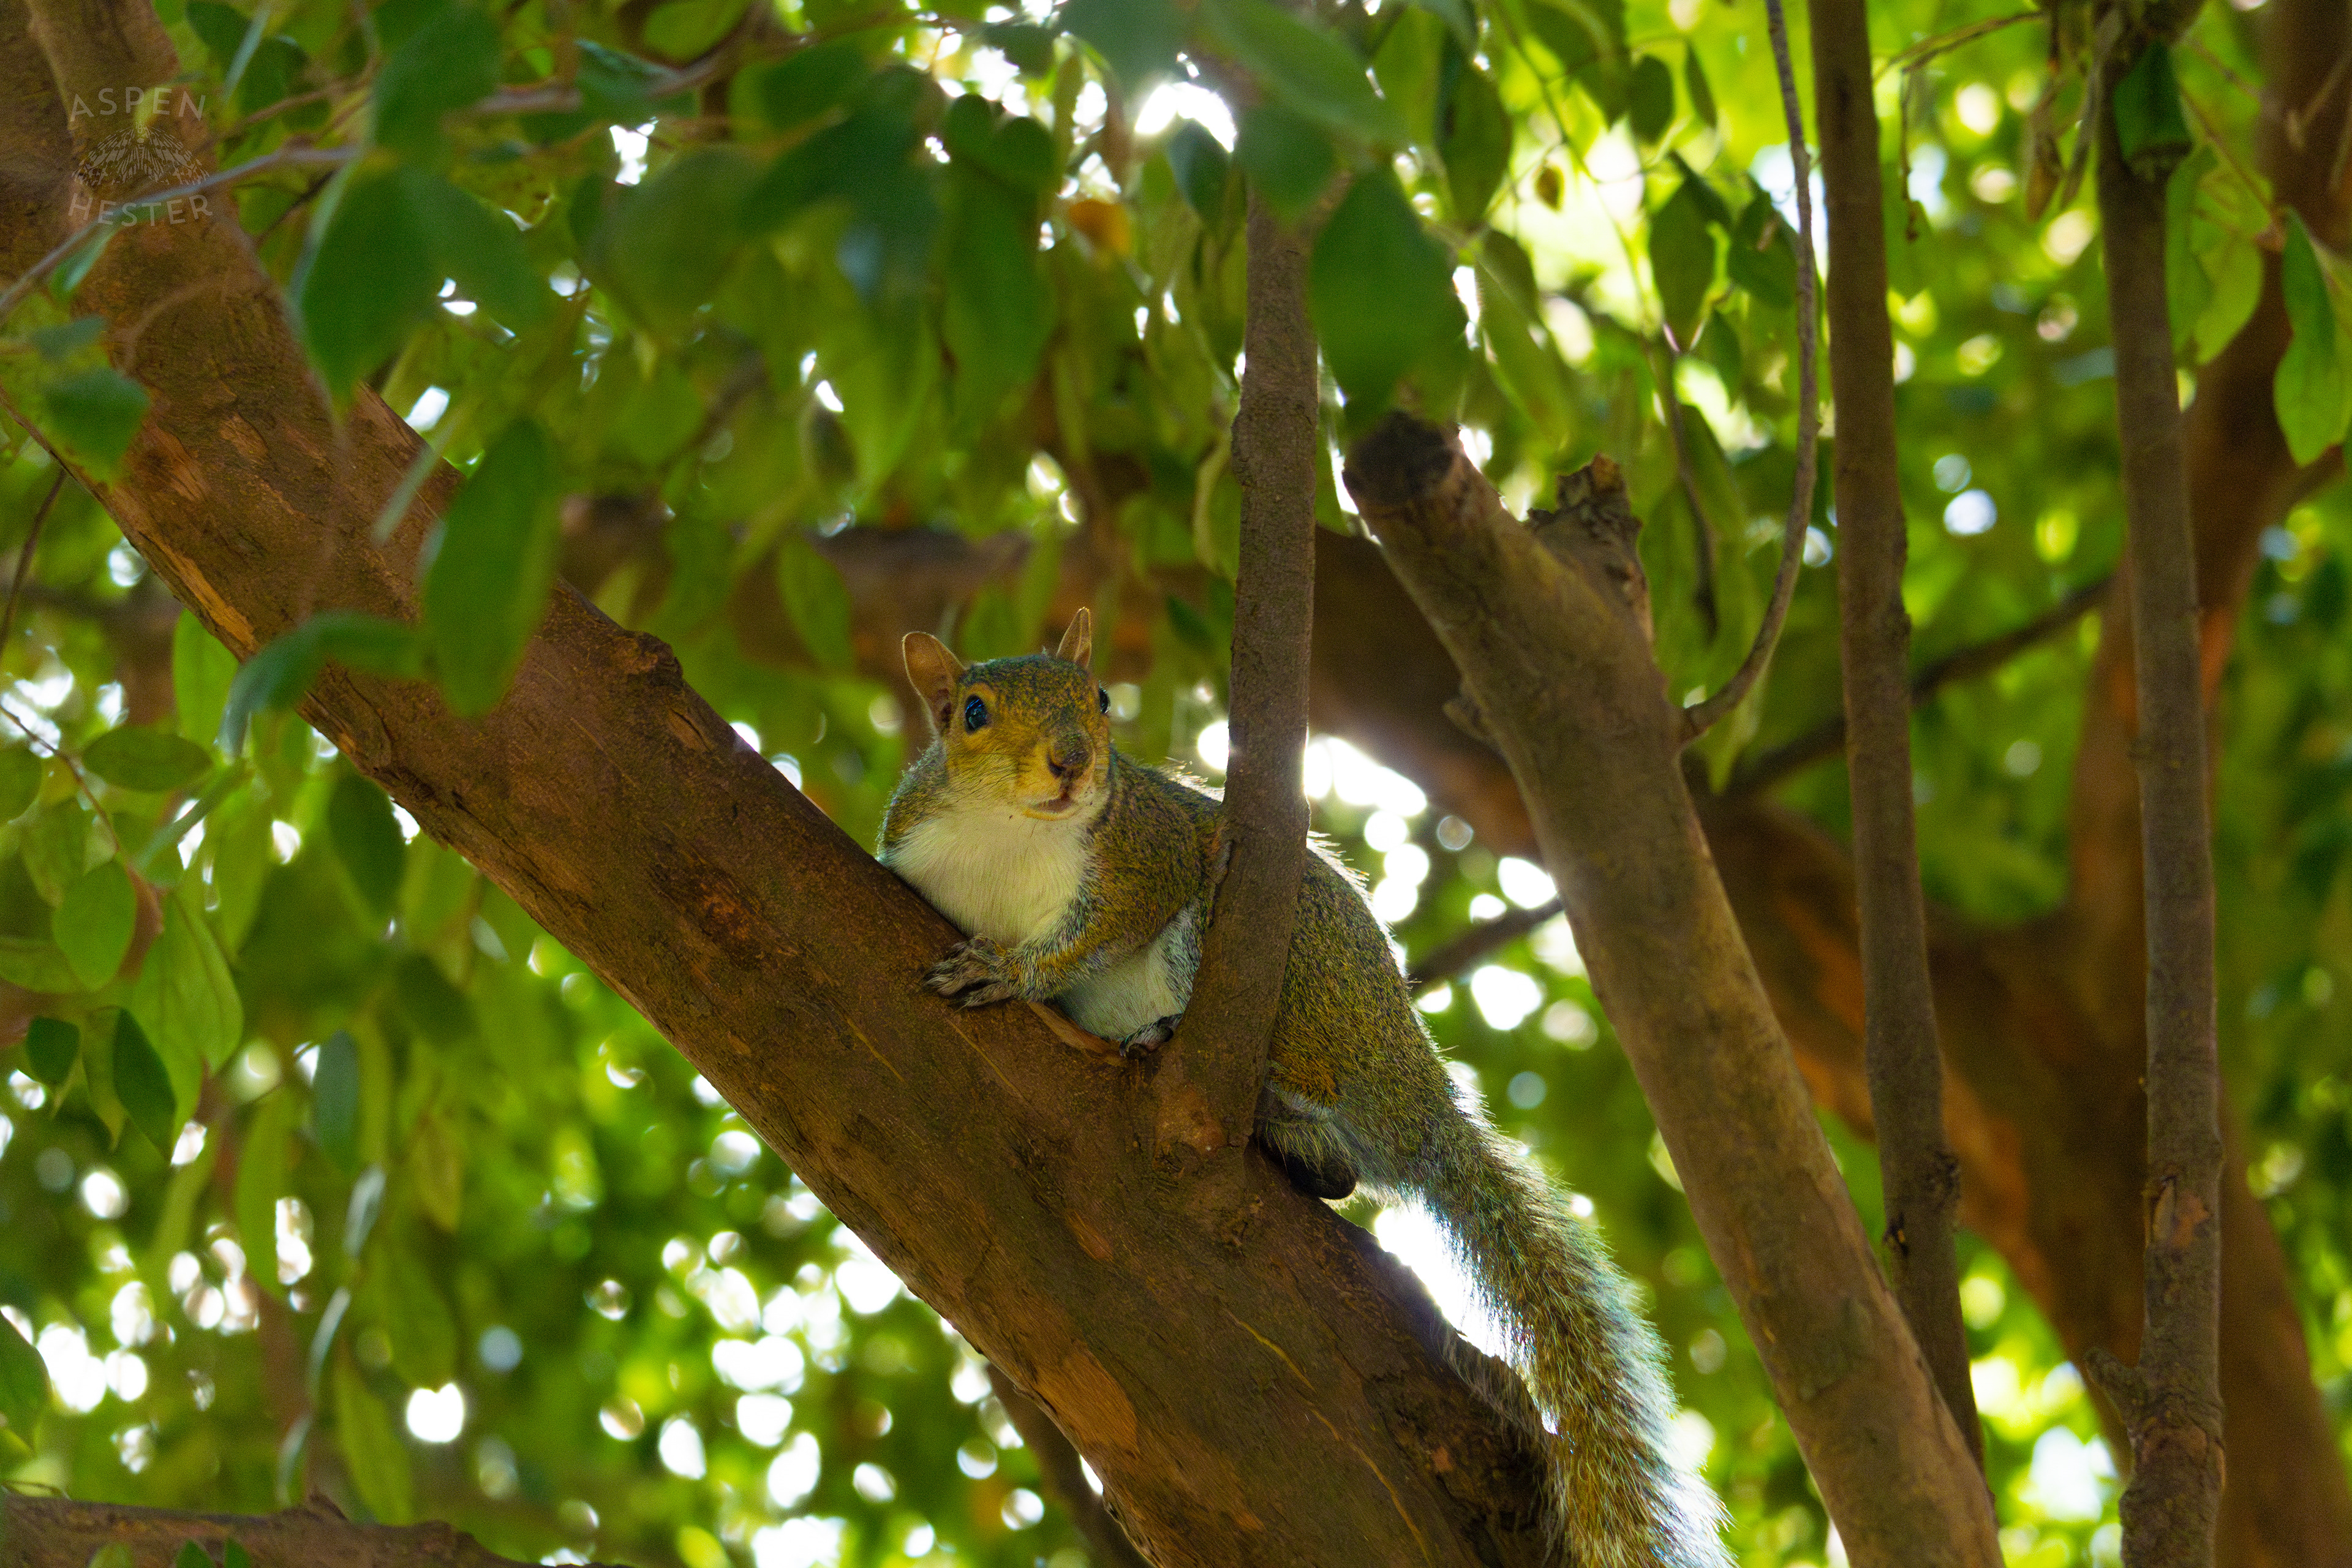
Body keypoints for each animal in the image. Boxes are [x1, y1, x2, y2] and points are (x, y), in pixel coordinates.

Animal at [879, 609, 1729, 1568]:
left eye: (1098, 700)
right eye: (972, 713)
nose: (1073, 761)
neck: (1007, 830)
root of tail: (1411, 1089)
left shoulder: (1147, 856)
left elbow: (1094, 937)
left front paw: (1011, 971)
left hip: (1283, 969)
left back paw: (1224, 1076)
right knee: (1341, 1171)